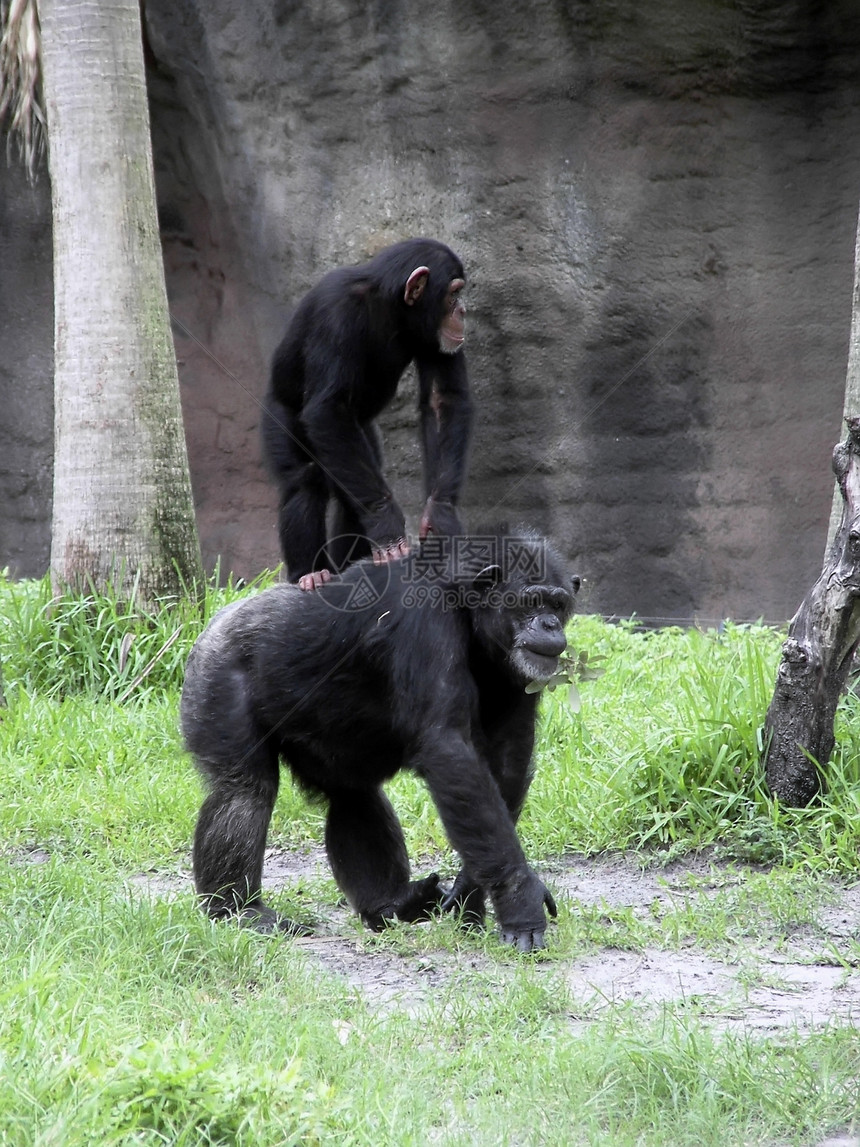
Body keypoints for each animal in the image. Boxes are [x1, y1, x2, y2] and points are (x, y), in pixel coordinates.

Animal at [181, 527, 580, 949]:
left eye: (558, 603)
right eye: (531, 601)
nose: (550, 624)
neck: (467, 609)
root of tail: (214, 623)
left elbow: (506, 761)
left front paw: (470, 890)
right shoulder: (424, 625)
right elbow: (450, 749)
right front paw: (520, 898)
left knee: (353, 797)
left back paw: (391, 904)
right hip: (217, 677)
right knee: (243, 793)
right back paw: (239, 910)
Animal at [262, 236, 479, 587]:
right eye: (454, 293)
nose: (462, 310)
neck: (390, 307)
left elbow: (442, 399)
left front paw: (440, 514)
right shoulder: (336, 312)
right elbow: (330, 407)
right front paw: (388, 527)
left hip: (358, 434)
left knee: (353, 493)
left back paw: (349, 568)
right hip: (279, 412)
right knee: (304, 479)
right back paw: (310, 574)